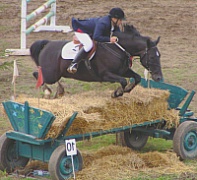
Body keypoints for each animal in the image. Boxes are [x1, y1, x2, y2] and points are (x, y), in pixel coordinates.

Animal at [29, 24, 162, 97]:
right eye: (151, 57)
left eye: (159, 55)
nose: (159, 78)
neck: (118, 49)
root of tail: (47, 44)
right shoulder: (105, 75)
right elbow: (123, 81)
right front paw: (117, 93)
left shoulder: (123, 71)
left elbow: (137, 77)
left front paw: (127, 90)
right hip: (51, 74)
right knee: (37, 75)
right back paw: (48, 91)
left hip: (55, 74)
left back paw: (59, 91)